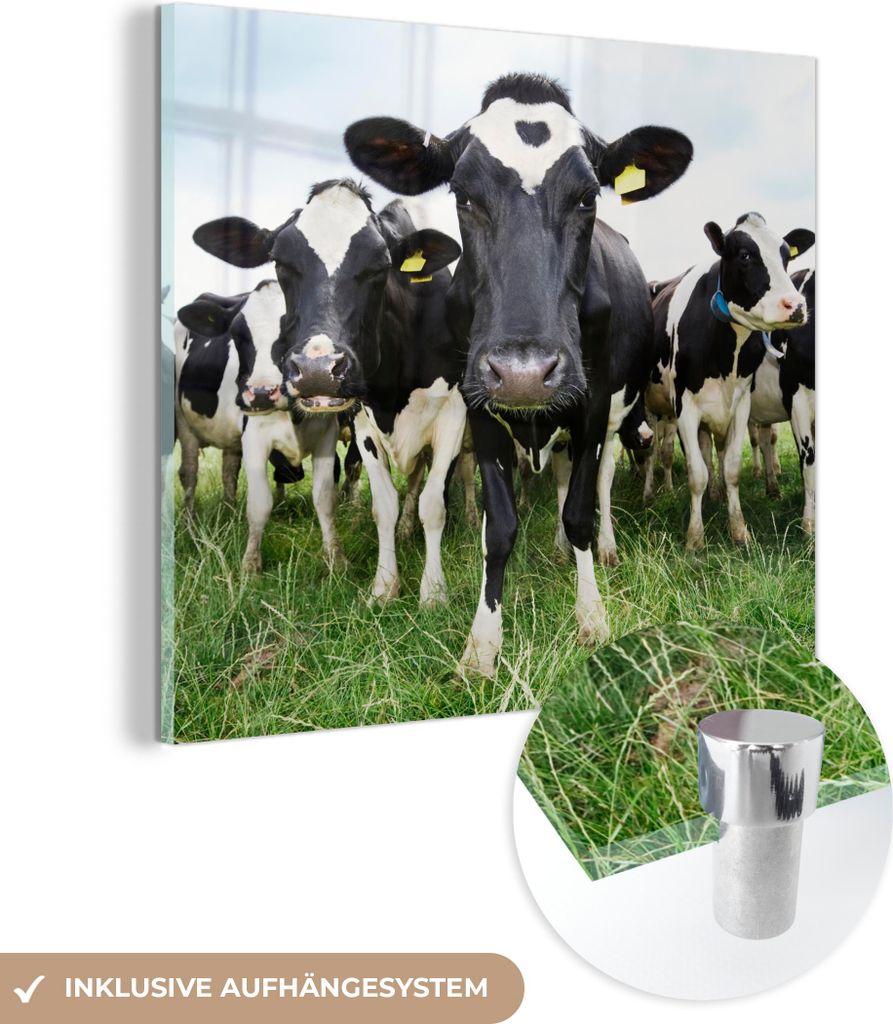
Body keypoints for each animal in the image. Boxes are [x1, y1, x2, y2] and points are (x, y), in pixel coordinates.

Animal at [175, 280, 343, 572]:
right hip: (184, 422)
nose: (262, 393)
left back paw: (230, 515)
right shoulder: (254, 437)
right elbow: (259, 504)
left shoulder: (326, 434)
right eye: (237, 334)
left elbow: (325, 498)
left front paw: (335, 558)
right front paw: (250, 565)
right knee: (189, 473)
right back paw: (188, 527)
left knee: (228, 471)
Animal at [343, 72, 693, 675]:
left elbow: (579, 511)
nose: (525, 374)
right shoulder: (480, 406)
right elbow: (499, 527)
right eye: (462, 195)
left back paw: (599, 549)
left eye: (587, 196)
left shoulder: (591, 404)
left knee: (596, 484)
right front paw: (482, 644)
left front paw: (592, 616)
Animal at [648, 212, 815, 550]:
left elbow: (732, 467)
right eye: (745, 255)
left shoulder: (740, 405)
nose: (796, 306)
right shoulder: (684, 407)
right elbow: (697, 473)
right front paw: (695, 538)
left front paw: (739, 531)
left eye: (785, 256)